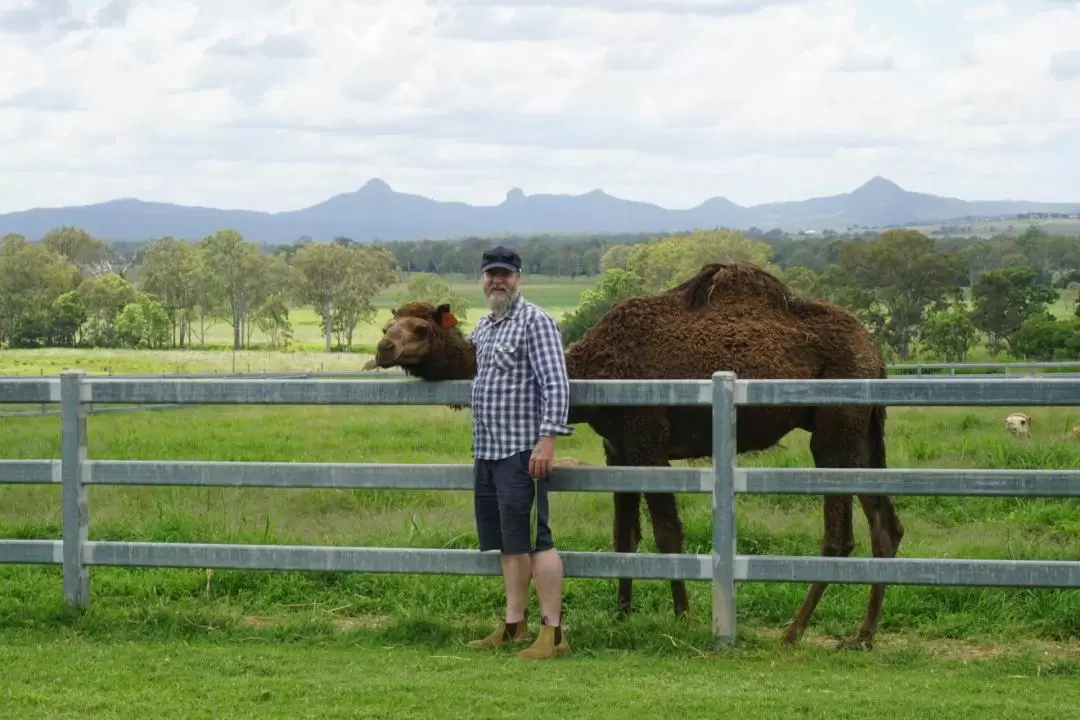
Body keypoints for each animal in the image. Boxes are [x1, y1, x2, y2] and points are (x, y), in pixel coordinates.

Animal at [371, 262, 902, 651]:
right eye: (389, 322)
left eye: (420, 327)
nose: (383, 346)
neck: (593, 368)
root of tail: (875, 354)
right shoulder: (617, 446)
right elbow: (623, 534)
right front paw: (621, 613)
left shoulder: (647, 437)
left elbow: (667, 533)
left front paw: (683, 615)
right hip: (867, 432)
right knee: (886, 526)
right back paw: (863, 634)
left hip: (835, 428)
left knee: (840, 535)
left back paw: (795, 630)